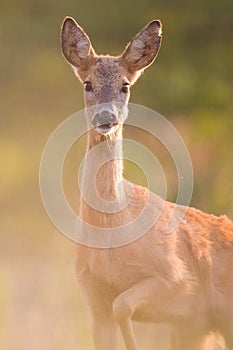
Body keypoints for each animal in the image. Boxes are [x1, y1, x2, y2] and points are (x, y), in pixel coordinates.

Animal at [60, 16, 233, 350]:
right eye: (87, 83)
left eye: (125, 85)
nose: (106, 118)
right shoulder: (93, 295)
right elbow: (113, 315)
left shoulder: (176, 280)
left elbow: (123, 305)